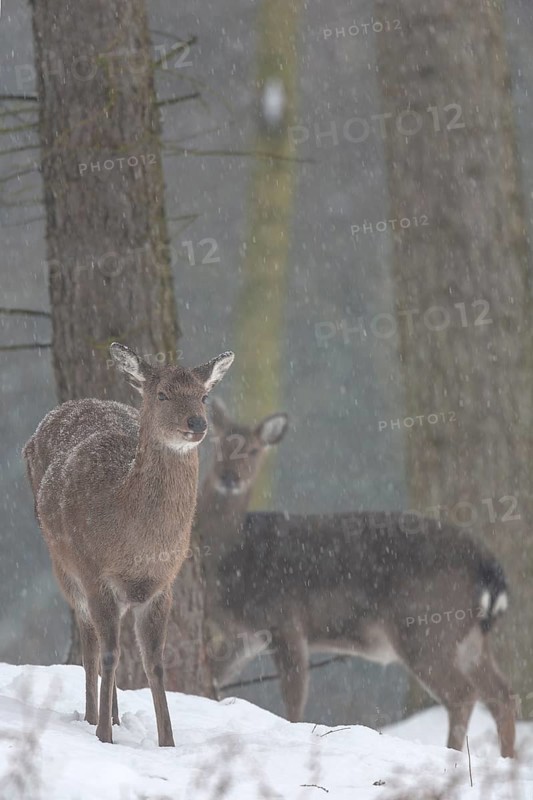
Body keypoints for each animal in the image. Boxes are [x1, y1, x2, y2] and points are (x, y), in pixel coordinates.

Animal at [22, 343, 234, 746]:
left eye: (204, 395)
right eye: (162, 394)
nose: (197, 423)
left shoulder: (162, 587)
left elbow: (154, 662)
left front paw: (167, 741)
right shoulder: (95, 573)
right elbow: (108, 654)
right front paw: (103, 734)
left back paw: (117, 717)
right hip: (63, 564)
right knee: (90, 644)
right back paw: (95, 717)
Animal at [200, 399, 516, 759]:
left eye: (253, 450)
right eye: (218, 444)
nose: (229, 477)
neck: (231, 555)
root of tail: (489, 565)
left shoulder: (285, 620)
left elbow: (294, 700)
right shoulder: (246, 637)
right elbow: (214, 682)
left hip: (427, 624)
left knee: (463, 694)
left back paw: (454, 756)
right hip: (470, 638)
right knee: (502, 694)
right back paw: (507, 760)